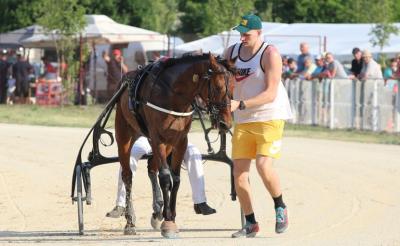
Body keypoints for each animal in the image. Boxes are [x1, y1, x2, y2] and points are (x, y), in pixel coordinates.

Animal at [114, 54, 236, 238]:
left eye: (234, 87)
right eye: (218, 86)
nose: (225, 123)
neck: (173, 94)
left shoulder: (179, 141)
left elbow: (176, 179)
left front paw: (170, 216)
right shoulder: (157, 139)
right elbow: (165, 178)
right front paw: (168, 222)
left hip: (165, 144)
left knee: (152, 168)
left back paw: (157, 211)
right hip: (125, 134)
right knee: (128, 175)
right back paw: (130, 221)